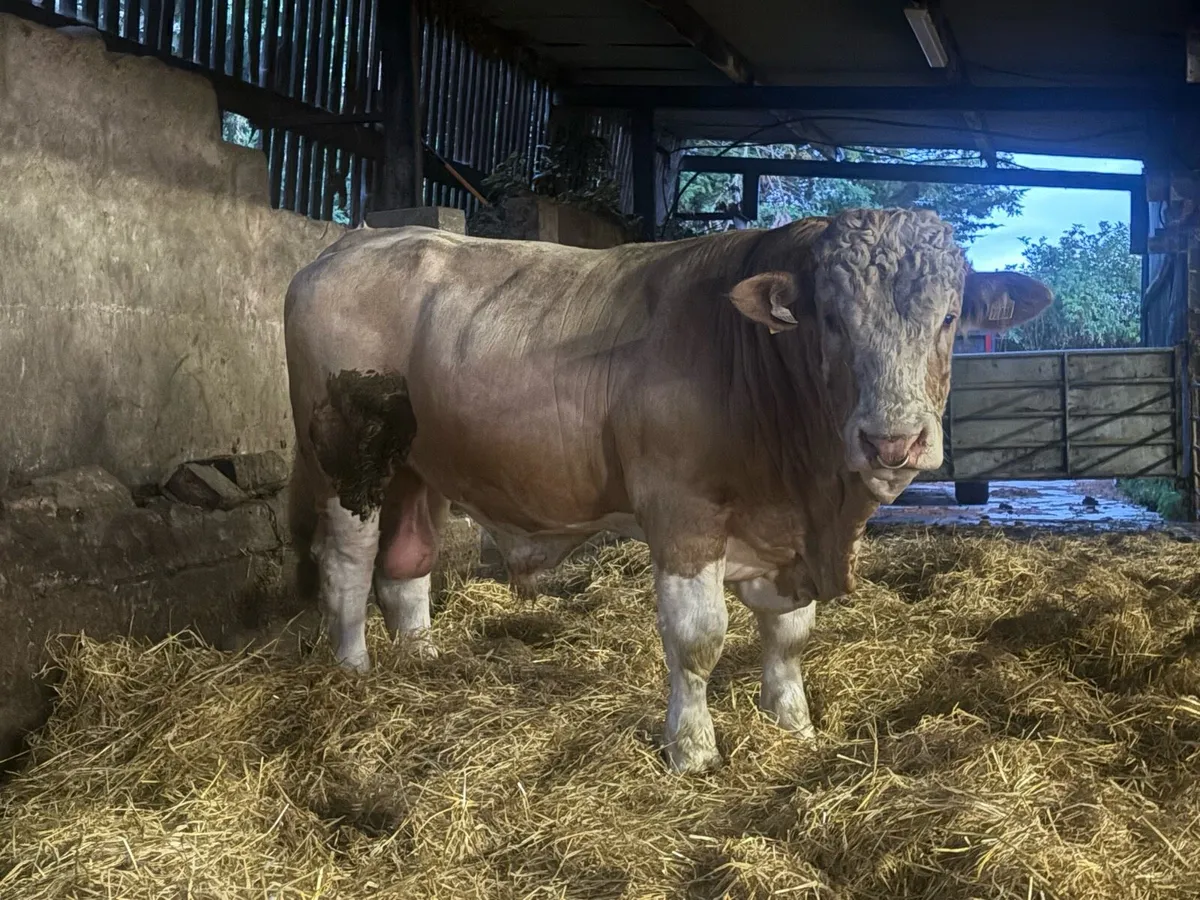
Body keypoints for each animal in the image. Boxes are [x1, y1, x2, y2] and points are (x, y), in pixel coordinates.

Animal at [284, 208, 1052, 774]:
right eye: (832, 320)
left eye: (948, 319)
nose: (892, 441)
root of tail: (349, 244)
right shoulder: (682, 512)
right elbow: (697, 638)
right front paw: (693, 750)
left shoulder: (785, 537)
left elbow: (790, 637)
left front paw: (793, 727)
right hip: (346, 462)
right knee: (347, 565)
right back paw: (354, 672)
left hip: (418, 466)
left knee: (407, 564)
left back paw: (422, 663)